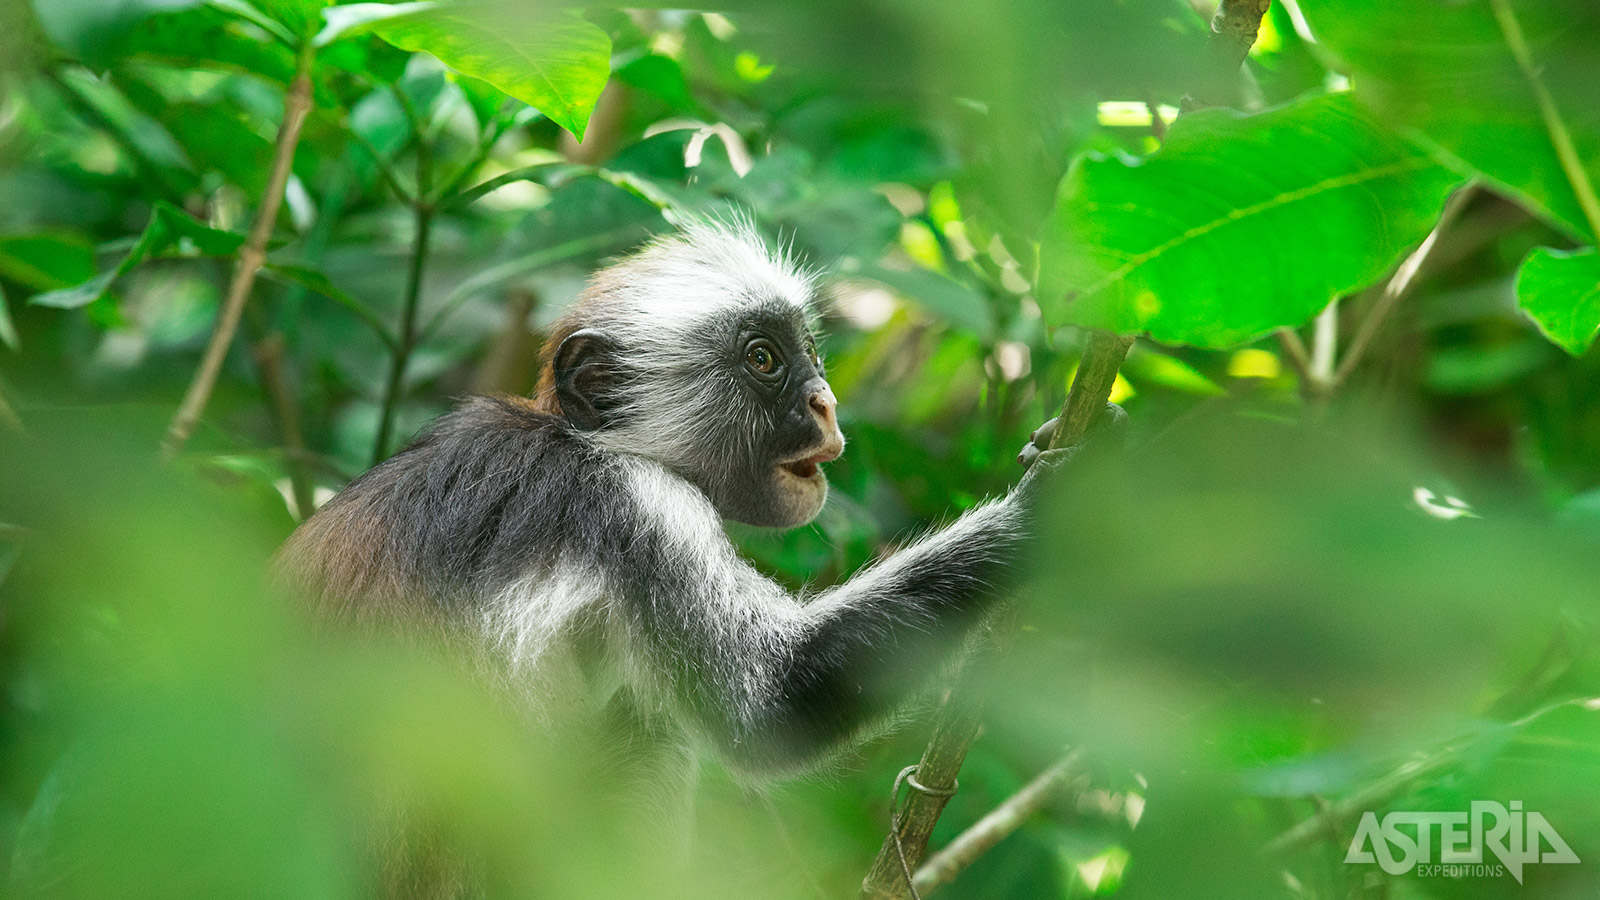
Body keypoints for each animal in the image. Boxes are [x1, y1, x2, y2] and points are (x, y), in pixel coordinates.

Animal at [281, 220, 1094, 794]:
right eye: (764, 358)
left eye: (810, 352)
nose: (825, 403)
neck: (577, 438)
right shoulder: (642, 509)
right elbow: (770, 706)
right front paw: (1075, 502)